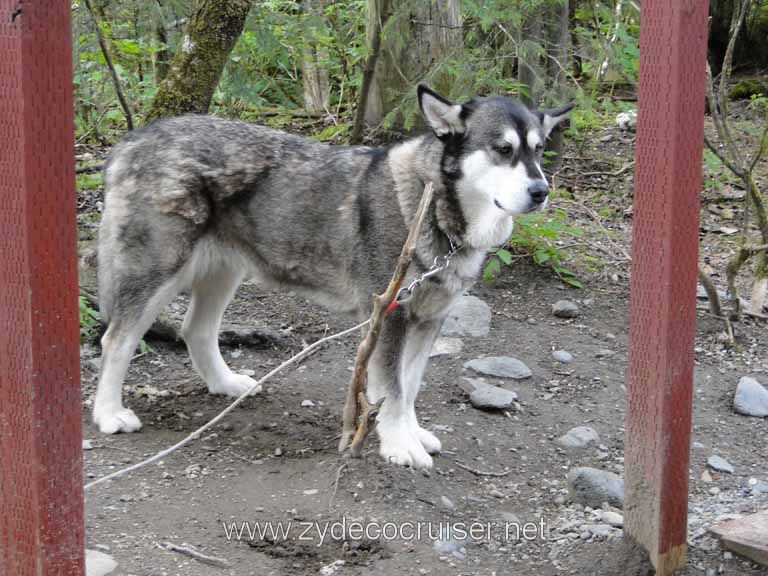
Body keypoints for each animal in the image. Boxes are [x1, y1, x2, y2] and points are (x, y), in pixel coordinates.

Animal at [94, 88, 568, 470]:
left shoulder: (428, 322)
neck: (432, 204)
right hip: (157, 274)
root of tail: (135, 139)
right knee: (117, 340)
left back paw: (225, 384)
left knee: (196, 330)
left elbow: (409, 387)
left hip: (223, 272)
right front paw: (400, 445)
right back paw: (108, 413)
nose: (541, 191)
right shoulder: (392, 317)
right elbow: (394, 389)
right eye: (502, 149)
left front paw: (410, 433)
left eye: (538, 150)